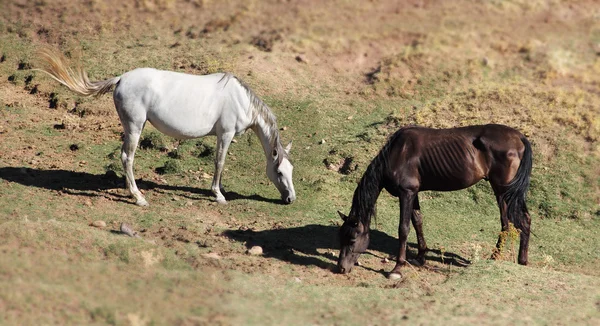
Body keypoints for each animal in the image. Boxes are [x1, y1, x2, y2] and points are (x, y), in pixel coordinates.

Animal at [35, 48, 296, 206]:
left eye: (291, 170)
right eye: (279, 172)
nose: (291, 199)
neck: (240, 99)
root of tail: (121, 78)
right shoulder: (226, 134)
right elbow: (219, 162)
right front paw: (218, 194)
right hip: (134, 127)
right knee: (127, 157)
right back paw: (138, 197)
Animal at [338, 123, 536, 278]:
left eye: (353, 239)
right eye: (342, 236)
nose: (341, 268)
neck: (398, 153)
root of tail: (519, 137)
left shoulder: (406, 193)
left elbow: (403, 228)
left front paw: (397, 268)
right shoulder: (414, 193)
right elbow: (417, 221)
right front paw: (420, 258)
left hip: (504, 192)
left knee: (516, 222)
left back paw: (510, 259)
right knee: (515, 222)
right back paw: (508, 258)